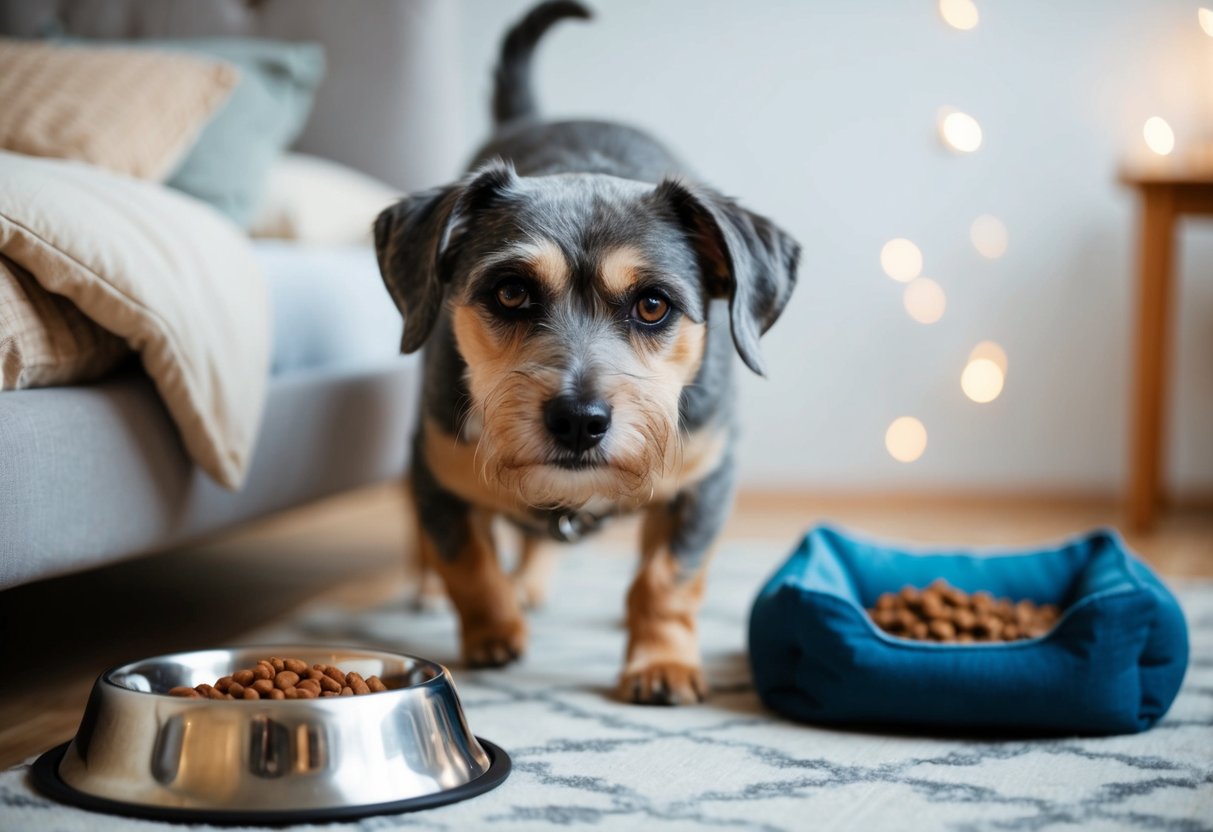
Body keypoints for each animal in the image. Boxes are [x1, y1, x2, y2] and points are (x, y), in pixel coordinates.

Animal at [373, 0, 800, 708]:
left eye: (653, 305)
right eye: (510, 292)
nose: (578, 421)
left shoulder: (707, 477)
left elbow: (667, 578)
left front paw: (661, 663)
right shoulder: (434, 460)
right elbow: (466, 558)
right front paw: (493, 633)